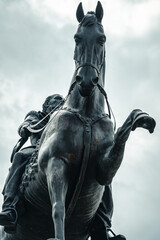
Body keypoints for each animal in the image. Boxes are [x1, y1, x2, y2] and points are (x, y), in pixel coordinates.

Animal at [0, 1, 155, 240]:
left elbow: (122, 134)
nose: (86, 81)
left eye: (102, 38)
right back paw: (8, 212)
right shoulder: (56, 164)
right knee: (19, 159)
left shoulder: (104, 170)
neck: (86, 117)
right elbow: (58, 210)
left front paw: (141, 117)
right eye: (77, 38)